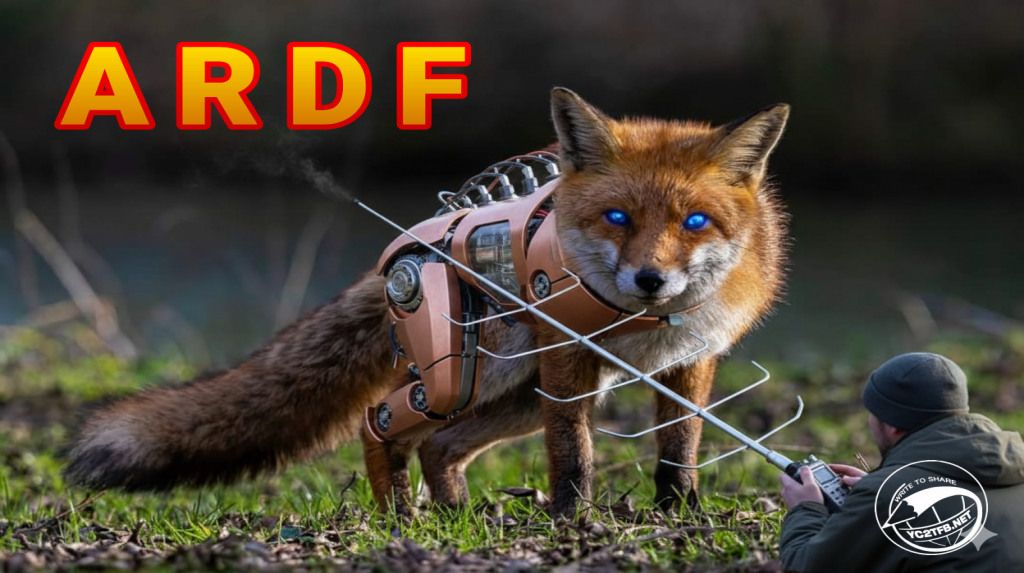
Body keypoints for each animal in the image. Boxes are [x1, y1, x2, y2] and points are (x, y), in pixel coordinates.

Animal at [65, 88, 790, 517]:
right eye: (618, 217)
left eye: (694, 222)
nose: (650, 280)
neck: (646, 323)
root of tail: (401, 254)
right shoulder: (568, 364)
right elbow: (573, 455)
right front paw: (571, 522)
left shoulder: (688, 361)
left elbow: (680, 448)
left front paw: (682, 515)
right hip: (472, 377)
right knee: (379, 422)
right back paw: (399, 517)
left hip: (517, 393)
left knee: (441, 445)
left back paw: (454, 514)